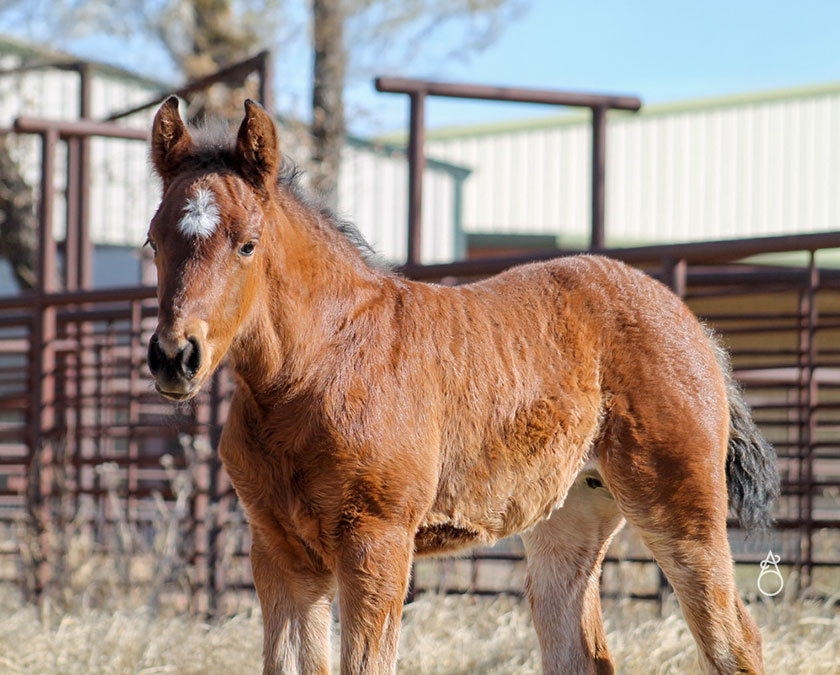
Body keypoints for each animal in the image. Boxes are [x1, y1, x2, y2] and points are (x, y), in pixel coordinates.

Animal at [146, 97, 780, 672]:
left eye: (247, 244)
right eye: (154, 241)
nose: (175, 356)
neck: (319, 366)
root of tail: (693, 325)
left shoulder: (377, 541)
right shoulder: (278, 552)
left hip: (680, 506)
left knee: (735, 641)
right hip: (569, 517)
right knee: (585, 655)